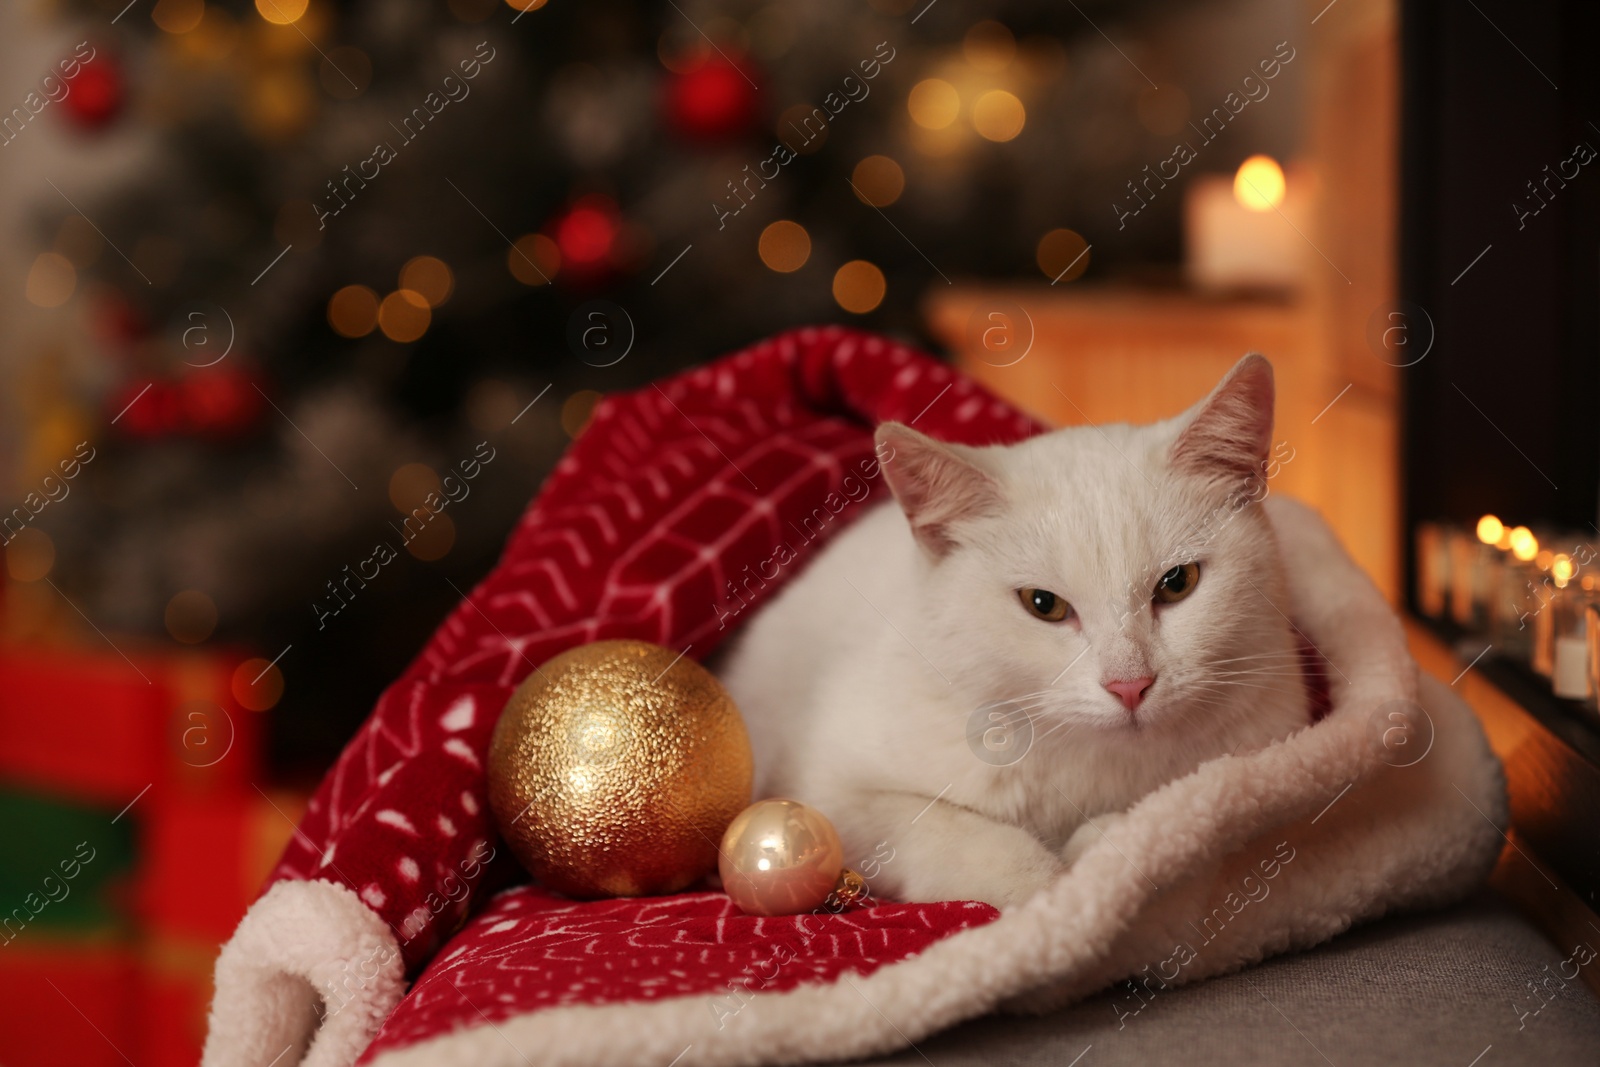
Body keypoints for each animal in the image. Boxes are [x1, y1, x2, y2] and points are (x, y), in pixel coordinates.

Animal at [723, 356, 1324, 908]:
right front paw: (1048, 889)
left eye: (1178, 583)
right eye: (1044, 605)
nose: (1130, 685)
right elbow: (946, 830)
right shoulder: (823, 790)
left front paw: (1107, 846)